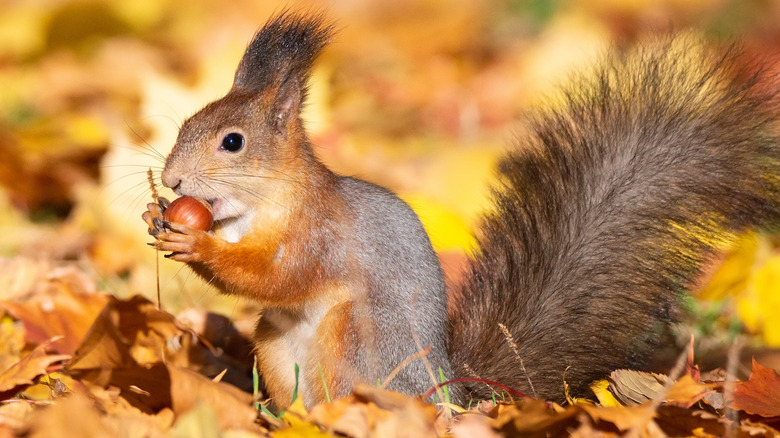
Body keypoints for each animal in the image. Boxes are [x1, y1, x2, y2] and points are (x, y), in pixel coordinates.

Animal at [142, 12, 780, 410]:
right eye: (187, 122)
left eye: (232, 142)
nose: (172, 179)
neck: (261, 203)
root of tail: (446, 395)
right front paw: (158, 218)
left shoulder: (319, 233)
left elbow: (278, 275)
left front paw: (193, 242)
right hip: (276, 345)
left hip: (354, 339)